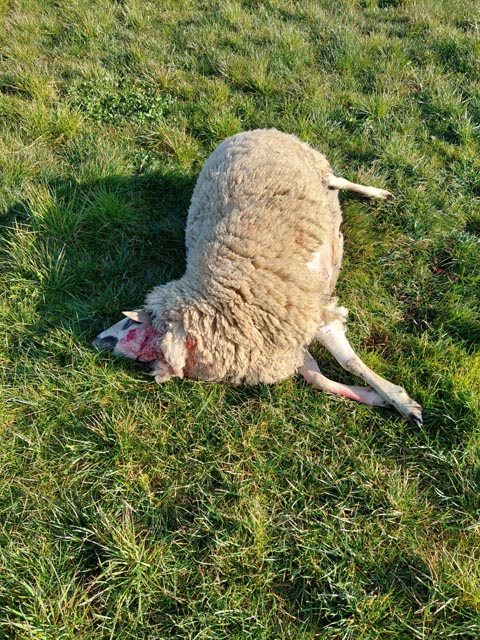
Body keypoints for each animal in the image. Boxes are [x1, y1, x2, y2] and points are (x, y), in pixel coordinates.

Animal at [93, 129, 422, 424]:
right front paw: (377, 399)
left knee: (338, 180)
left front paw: (402, 402)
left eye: (131, 322)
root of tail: (243, 133)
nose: (96, 340)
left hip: (313, 160)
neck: (220, 301)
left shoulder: (312, 311)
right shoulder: (284, 345)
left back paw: (378, 193)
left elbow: (350, 362)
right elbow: (316, 377)